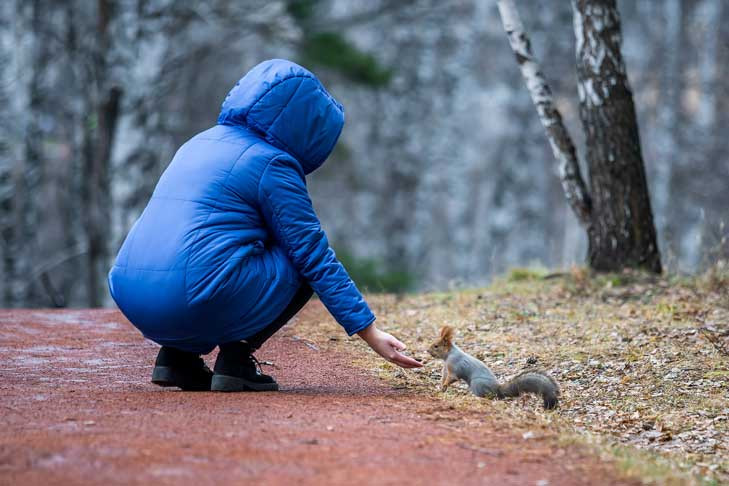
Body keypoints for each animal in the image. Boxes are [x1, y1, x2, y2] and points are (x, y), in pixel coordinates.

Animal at [426, 324, 556, 408]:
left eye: (436, 346)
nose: (427, 350)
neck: (448, 355)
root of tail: (497, 389)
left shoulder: (454, 364)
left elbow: (453, 377)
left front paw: (444, 385)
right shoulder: (446, 368)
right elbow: (444, 377)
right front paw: (441, 387)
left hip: (477, 384)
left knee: (486, 397)